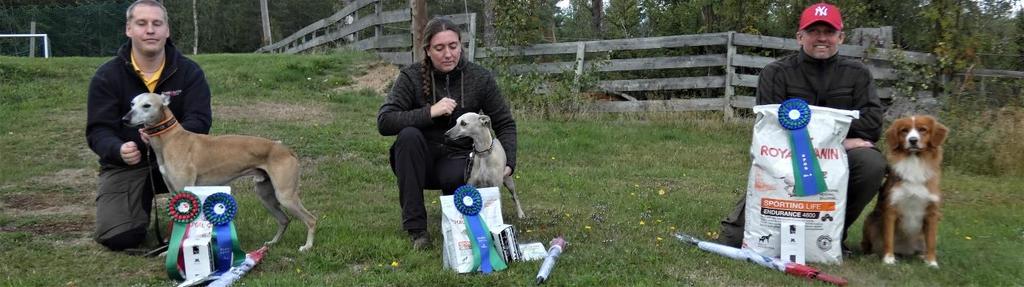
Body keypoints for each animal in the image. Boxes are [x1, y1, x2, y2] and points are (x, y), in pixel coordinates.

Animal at [860, 115, 946, 268]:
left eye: (923, 129)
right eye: (904, 131)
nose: (913, 140)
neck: (914, 162)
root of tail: (906, 250)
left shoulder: (932, 213)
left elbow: (931, 242)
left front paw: (931, 262)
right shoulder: (891, 209)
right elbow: (888, 239)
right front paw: (888, 259)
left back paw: (922, 256)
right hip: (870, 221)